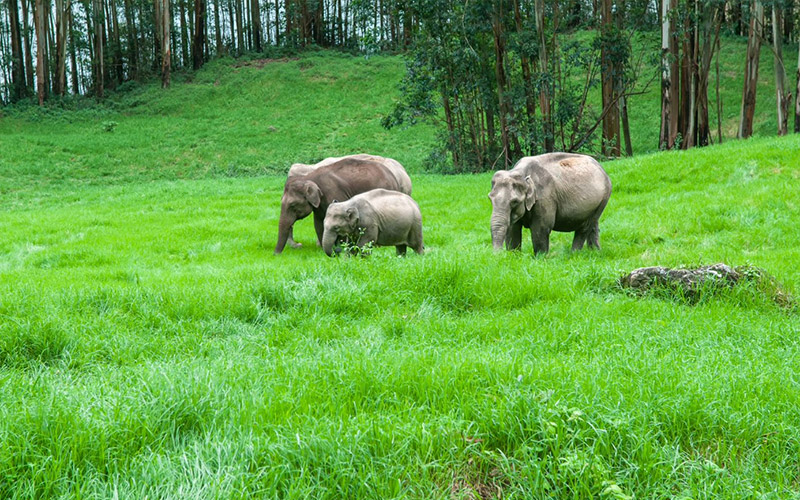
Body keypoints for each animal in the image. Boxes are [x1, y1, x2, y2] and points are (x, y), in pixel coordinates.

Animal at [276, 156, 412, 254]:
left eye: (292, 205)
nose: (276, 254)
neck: (308, 176)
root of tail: (394, 176)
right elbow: (319, 223)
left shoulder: (333, 194)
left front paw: (340, 247)